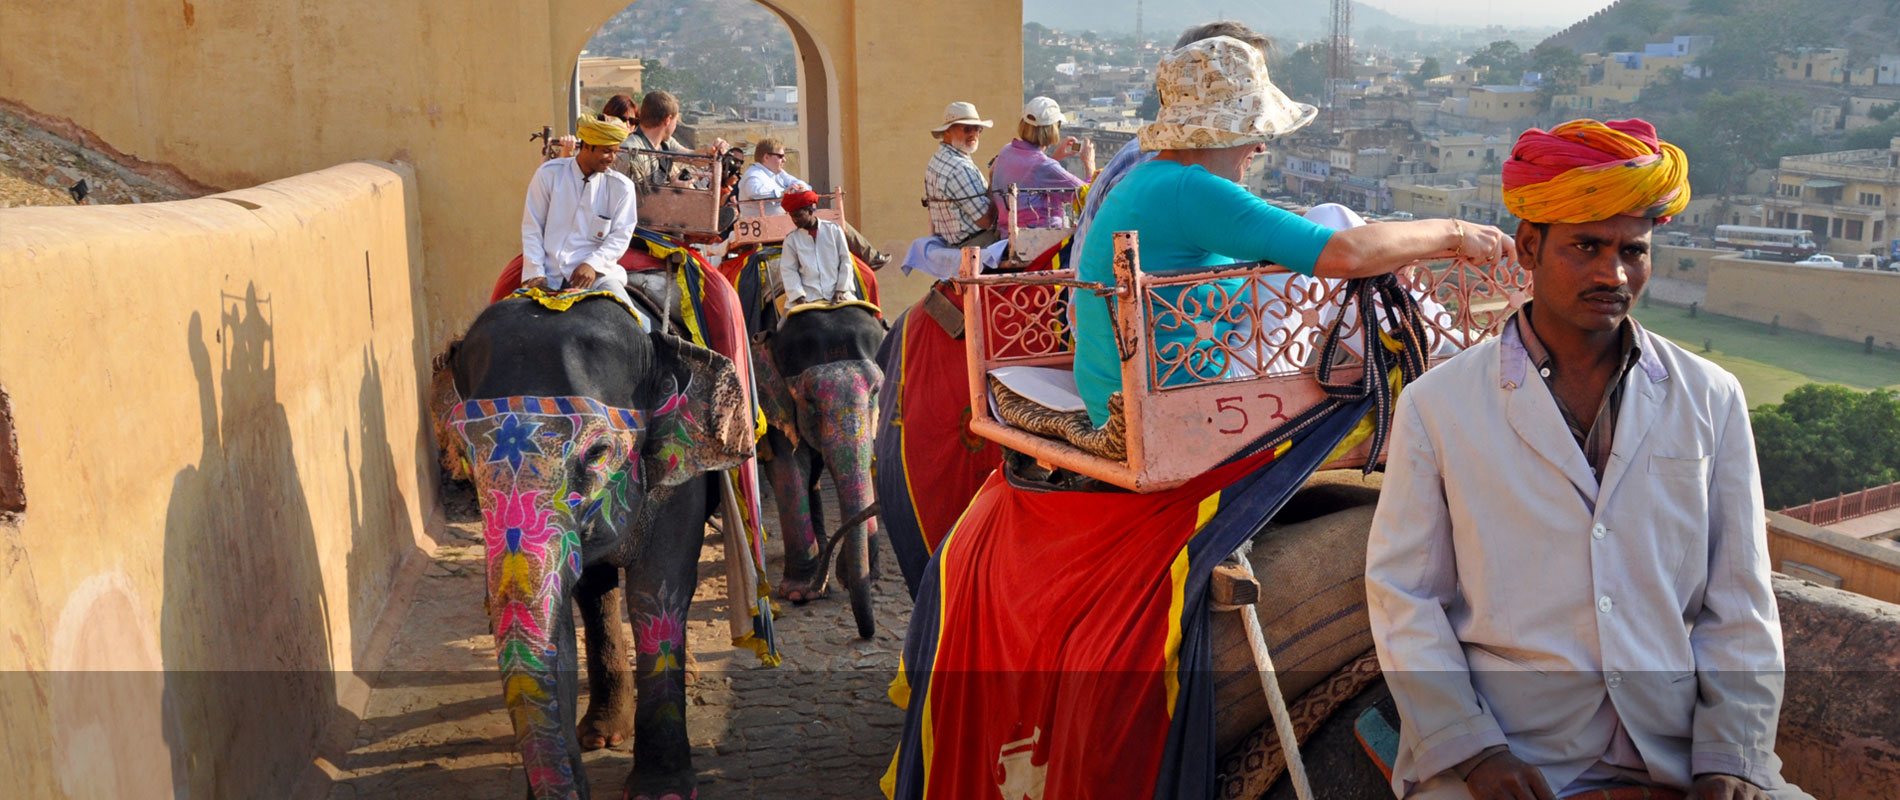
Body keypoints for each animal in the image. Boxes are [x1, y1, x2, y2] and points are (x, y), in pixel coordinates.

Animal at [442, 290, 748, 798]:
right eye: (466, 455)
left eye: (599, 452)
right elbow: (561, 612)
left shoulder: (677, 470)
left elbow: (657, 586)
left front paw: (661, 792)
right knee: (595, 592)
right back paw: (602, 733)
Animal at [748, 300, 881, 634]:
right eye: (809, 399)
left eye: (875, 392)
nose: (866, 631)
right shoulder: (773, 393)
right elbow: (788, 467)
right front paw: (800, 592)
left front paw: (861, 574)